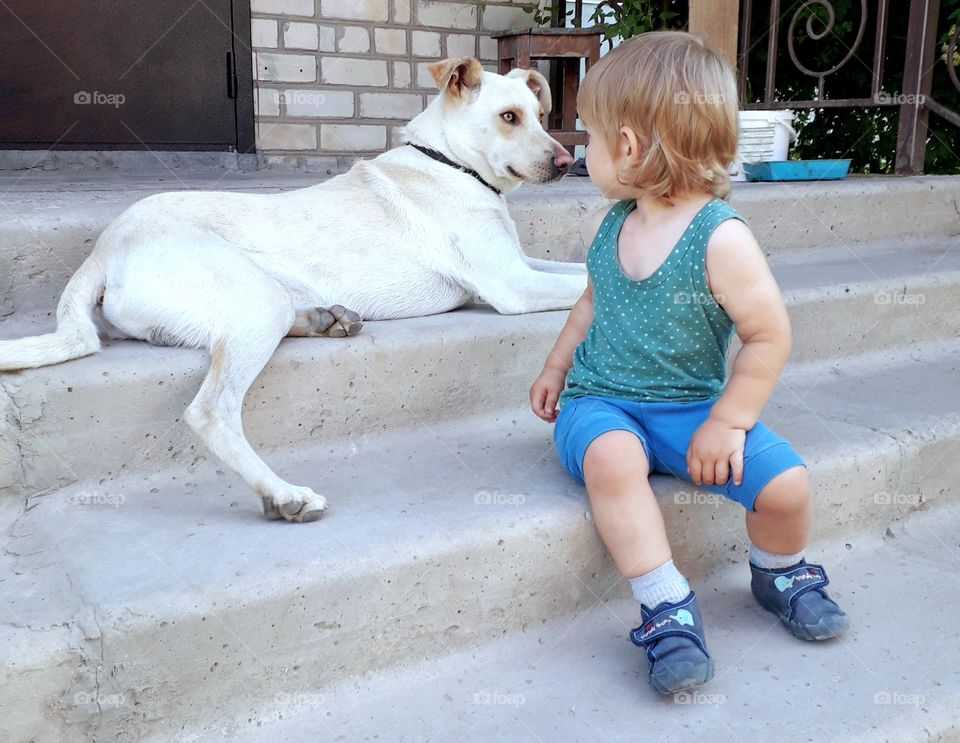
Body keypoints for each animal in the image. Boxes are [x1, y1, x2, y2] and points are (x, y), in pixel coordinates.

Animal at [0, 56, 588, 524]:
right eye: (508, 118)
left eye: (539, 116)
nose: (566, 163)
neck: (450, 162)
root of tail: (104, 246)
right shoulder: (512, 284)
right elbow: (582, 284)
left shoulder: (521, 265)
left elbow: (579, 267)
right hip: (255, 300)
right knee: (210, 412)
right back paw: (283, 493)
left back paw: (327, 318)